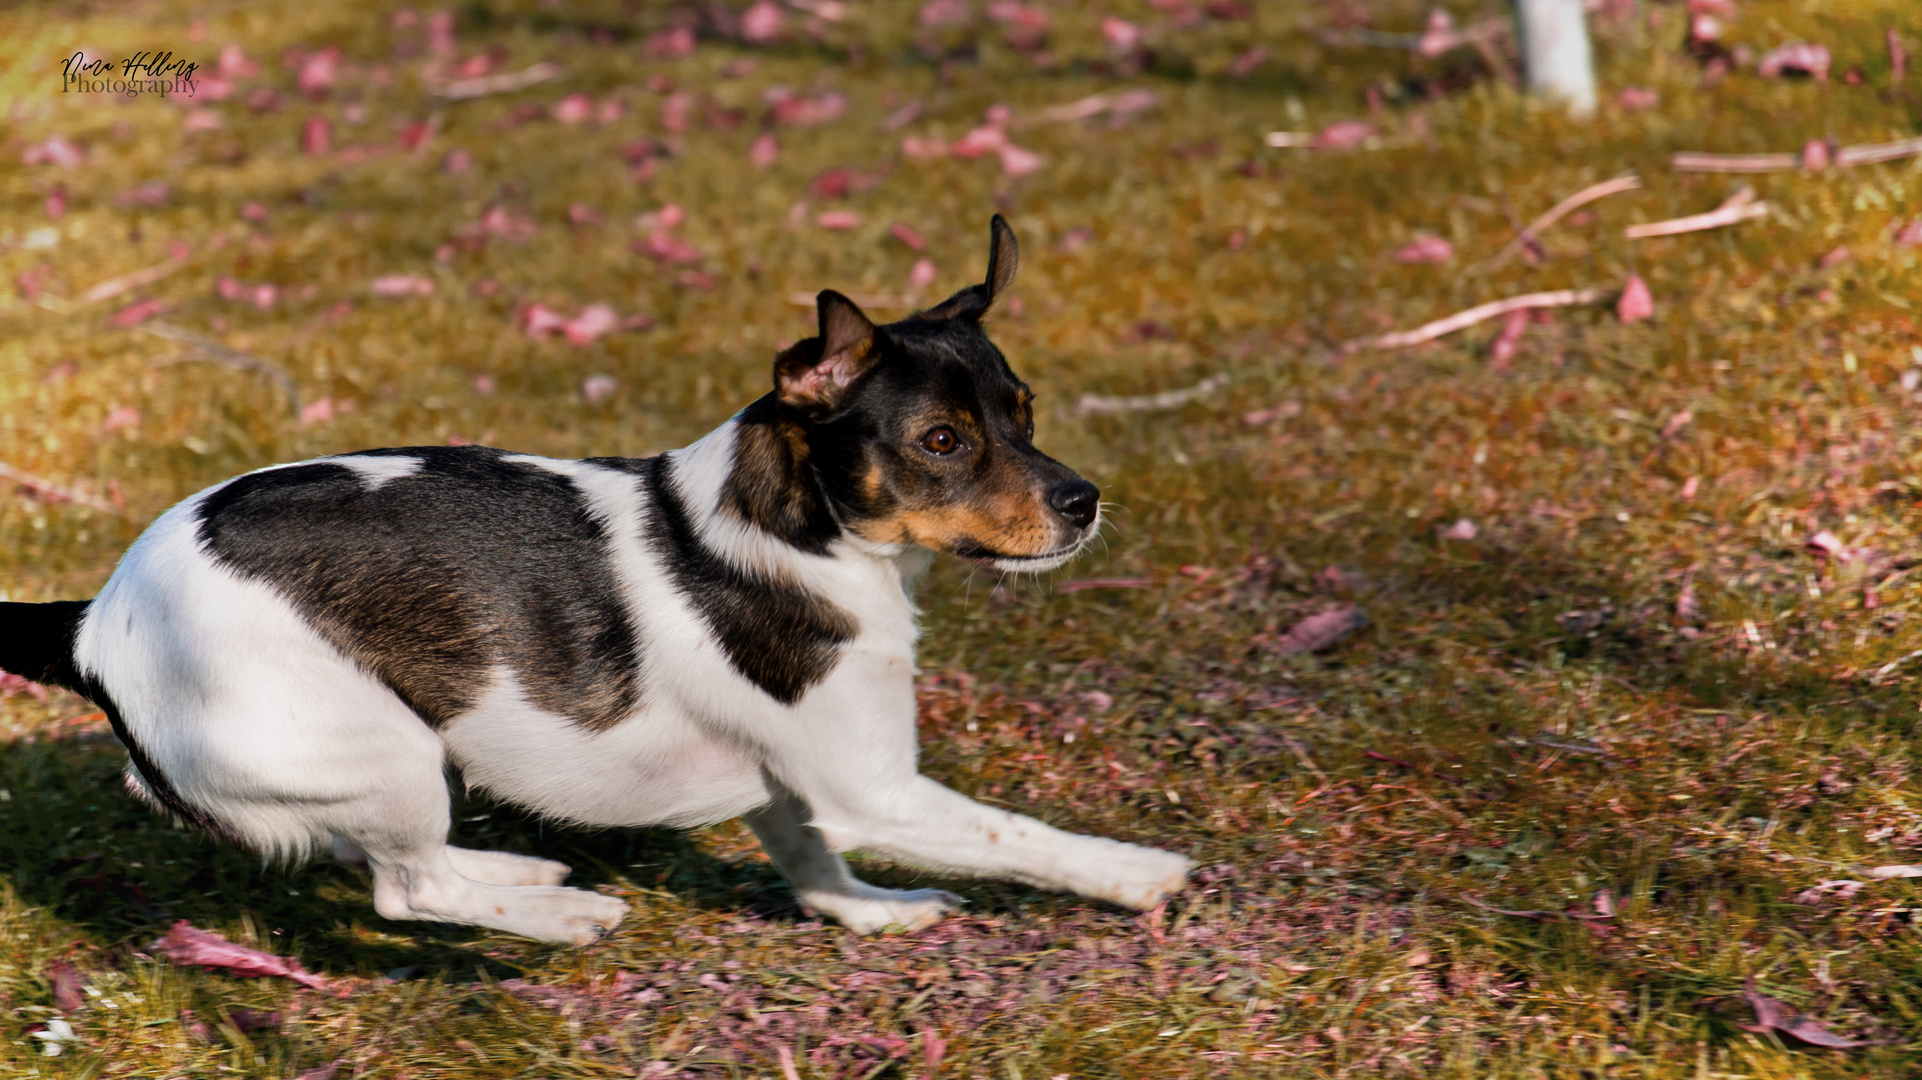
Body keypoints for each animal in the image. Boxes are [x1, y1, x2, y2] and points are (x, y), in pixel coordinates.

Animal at [0, 219, 1191, 941]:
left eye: (1023, 414)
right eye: (943, 442)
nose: (1082, 500)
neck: (792, 532)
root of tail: (91, 620)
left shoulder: (797, 784)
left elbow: (809, 860)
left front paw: (868, 915)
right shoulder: (876, 788)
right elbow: (1021, 838)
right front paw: (1135, 873)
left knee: (375, 855)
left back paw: (521, 878)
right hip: (381, 748)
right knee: (407, 890)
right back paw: (559, 919)